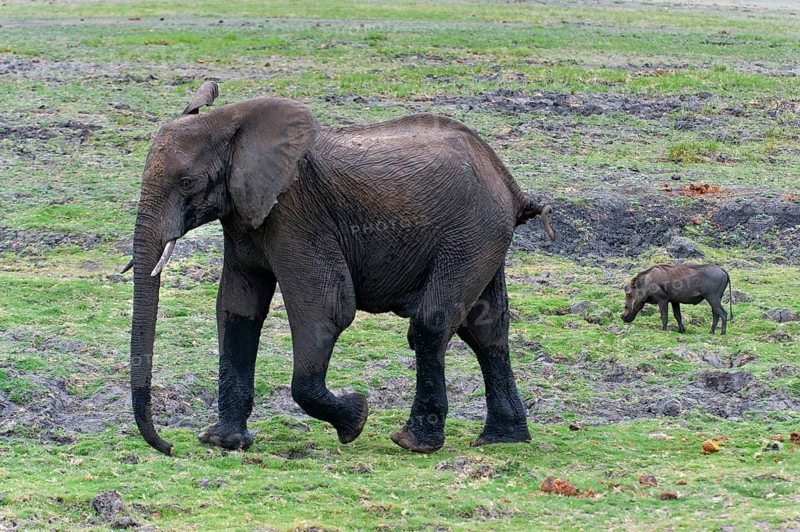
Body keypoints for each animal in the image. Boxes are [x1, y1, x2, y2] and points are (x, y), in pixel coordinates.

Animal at [126, 82, 555, 456]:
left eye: (186, 182)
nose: (169, 447)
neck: (231, 124)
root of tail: (510, 184)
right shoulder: (245, 215)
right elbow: (237, 308)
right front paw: (224, 442)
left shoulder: (296, 213)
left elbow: (325, 311)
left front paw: (356, 419)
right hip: (483, 237)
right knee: (487, 329)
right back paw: (503, 439)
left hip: (471, 233)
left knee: (432, 323)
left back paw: (413, 442)